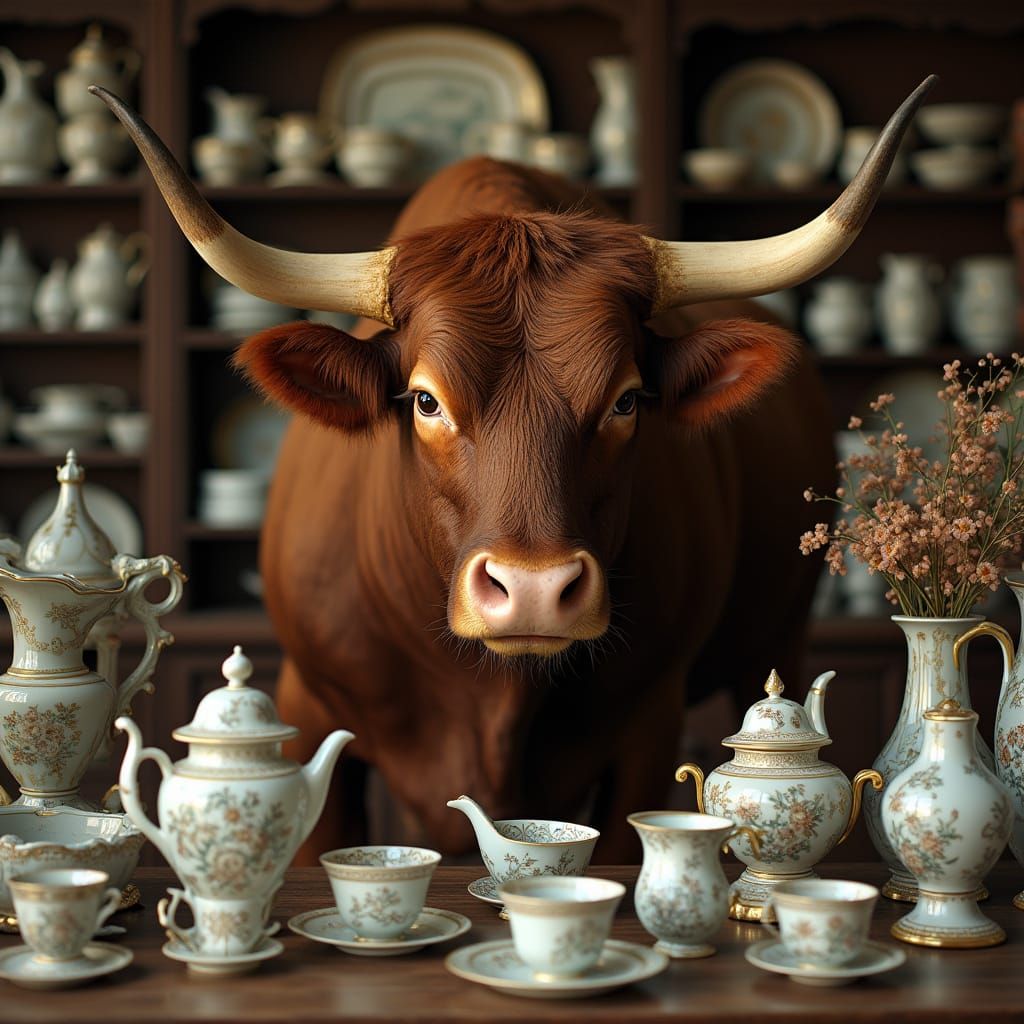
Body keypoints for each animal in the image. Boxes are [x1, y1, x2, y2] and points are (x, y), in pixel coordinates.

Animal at [96, 76, 933, 863]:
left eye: (627, 398)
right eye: (425, 399)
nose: (532, 591)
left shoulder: (648, 726)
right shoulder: (309, 705)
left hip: (777, 636)